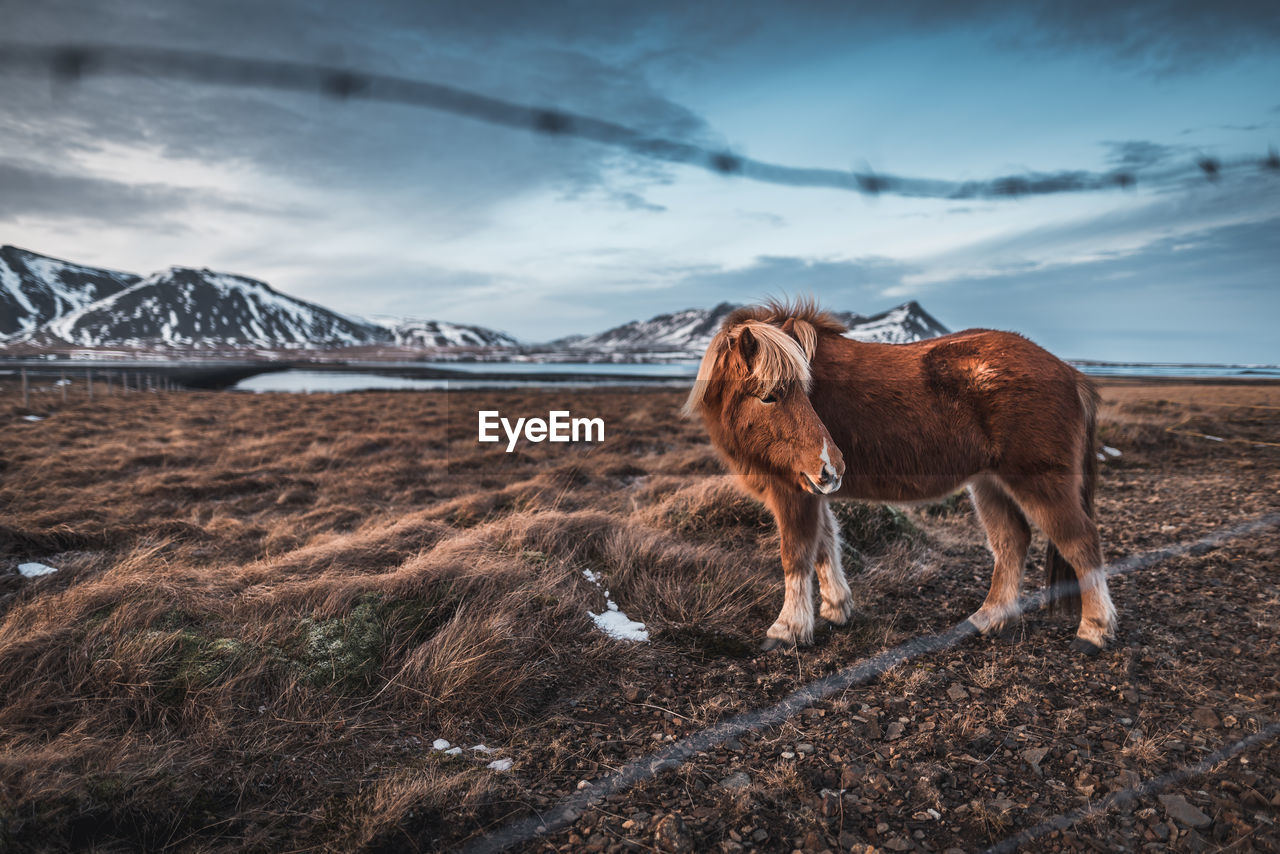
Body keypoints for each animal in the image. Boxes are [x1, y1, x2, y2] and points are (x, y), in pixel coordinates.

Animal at [686, 299, 1116, 655]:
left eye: (804, 392)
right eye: (769, 395)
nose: (833, 465)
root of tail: (1070, 374)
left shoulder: (793, 490)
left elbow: (796, 554)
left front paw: (786, 629)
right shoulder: (812, 487)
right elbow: (826, 544)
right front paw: (837, 609)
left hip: (1040, 482)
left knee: (1080, 542)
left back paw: (1093, 632)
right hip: (989, 483)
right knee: (1012, 541)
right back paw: (987, 619)